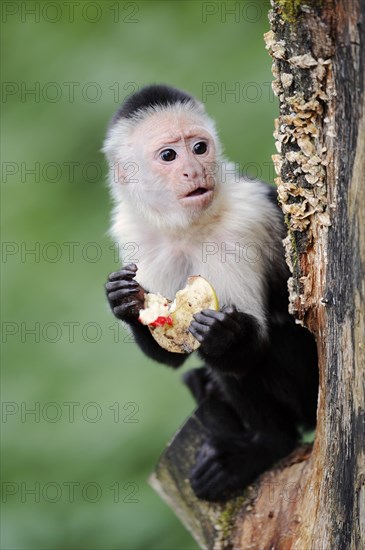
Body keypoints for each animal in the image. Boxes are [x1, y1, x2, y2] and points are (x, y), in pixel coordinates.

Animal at [101, 83, 316, 504]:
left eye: (200, 147)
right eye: (169, 155)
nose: (195, 169)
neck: (186, 226)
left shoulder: (239, 228)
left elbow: (253, 346)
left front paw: (224, 334)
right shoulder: (137, 235)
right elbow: (169, 351)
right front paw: (123, 302)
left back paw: (267, 445)